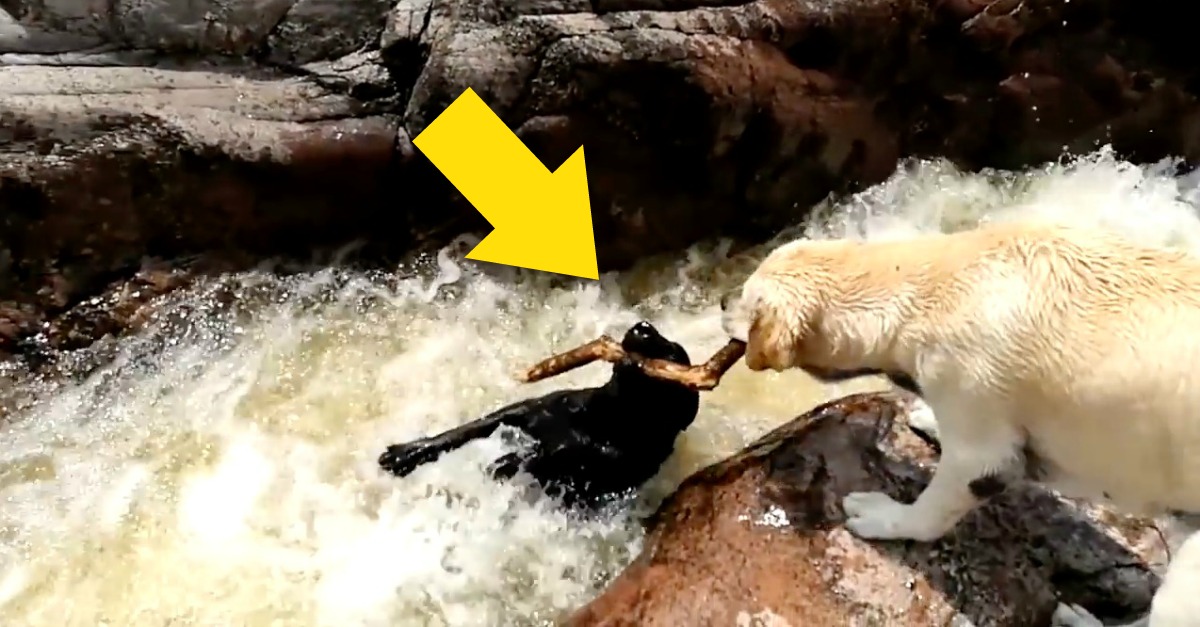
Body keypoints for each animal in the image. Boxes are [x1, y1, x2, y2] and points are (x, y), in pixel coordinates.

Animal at [376, 319, 700, 509]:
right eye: (660, 337)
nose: (643, 326)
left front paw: (507, 462)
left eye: (672, 352)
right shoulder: (531, 410)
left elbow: (541, 459)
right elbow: (470, 429)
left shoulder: (606, 460)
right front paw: (407, 453)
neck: (600, 416)